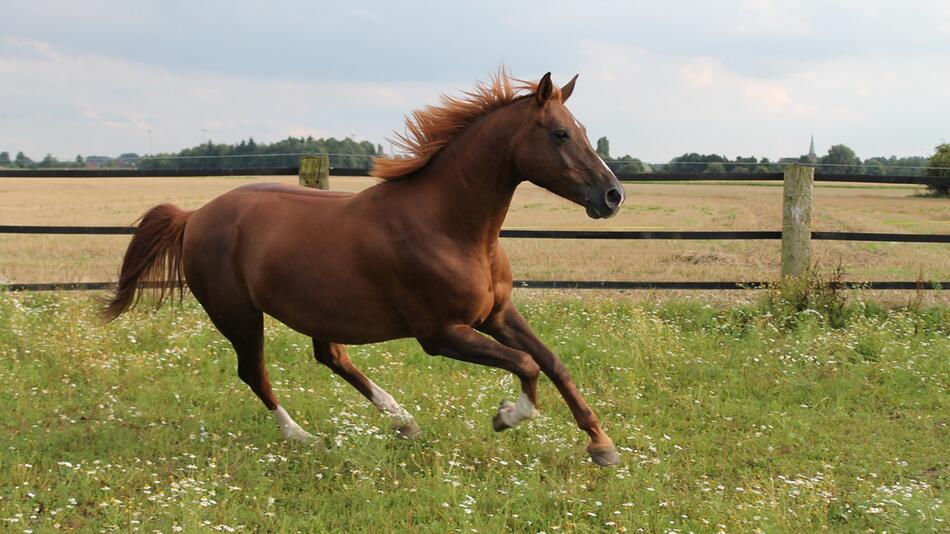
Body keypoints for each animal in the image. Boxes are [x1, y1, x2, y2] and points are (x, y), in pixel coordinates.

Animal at [104, 72, 628, 468]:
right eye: (559, 133)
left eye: (583, 128)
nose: (613, 196)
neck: (449, 226)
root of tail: (194, 216)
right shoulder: (441, 333)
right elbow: (525, 364)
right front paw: (506, 416)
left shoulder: (497, 314)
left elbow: (551, 361)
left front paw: (602, 446)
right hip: (237, 315)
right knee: (254, 372)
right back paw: (304, 437)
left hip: (315, 309)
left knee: (331, 357)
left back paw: (403, 420)